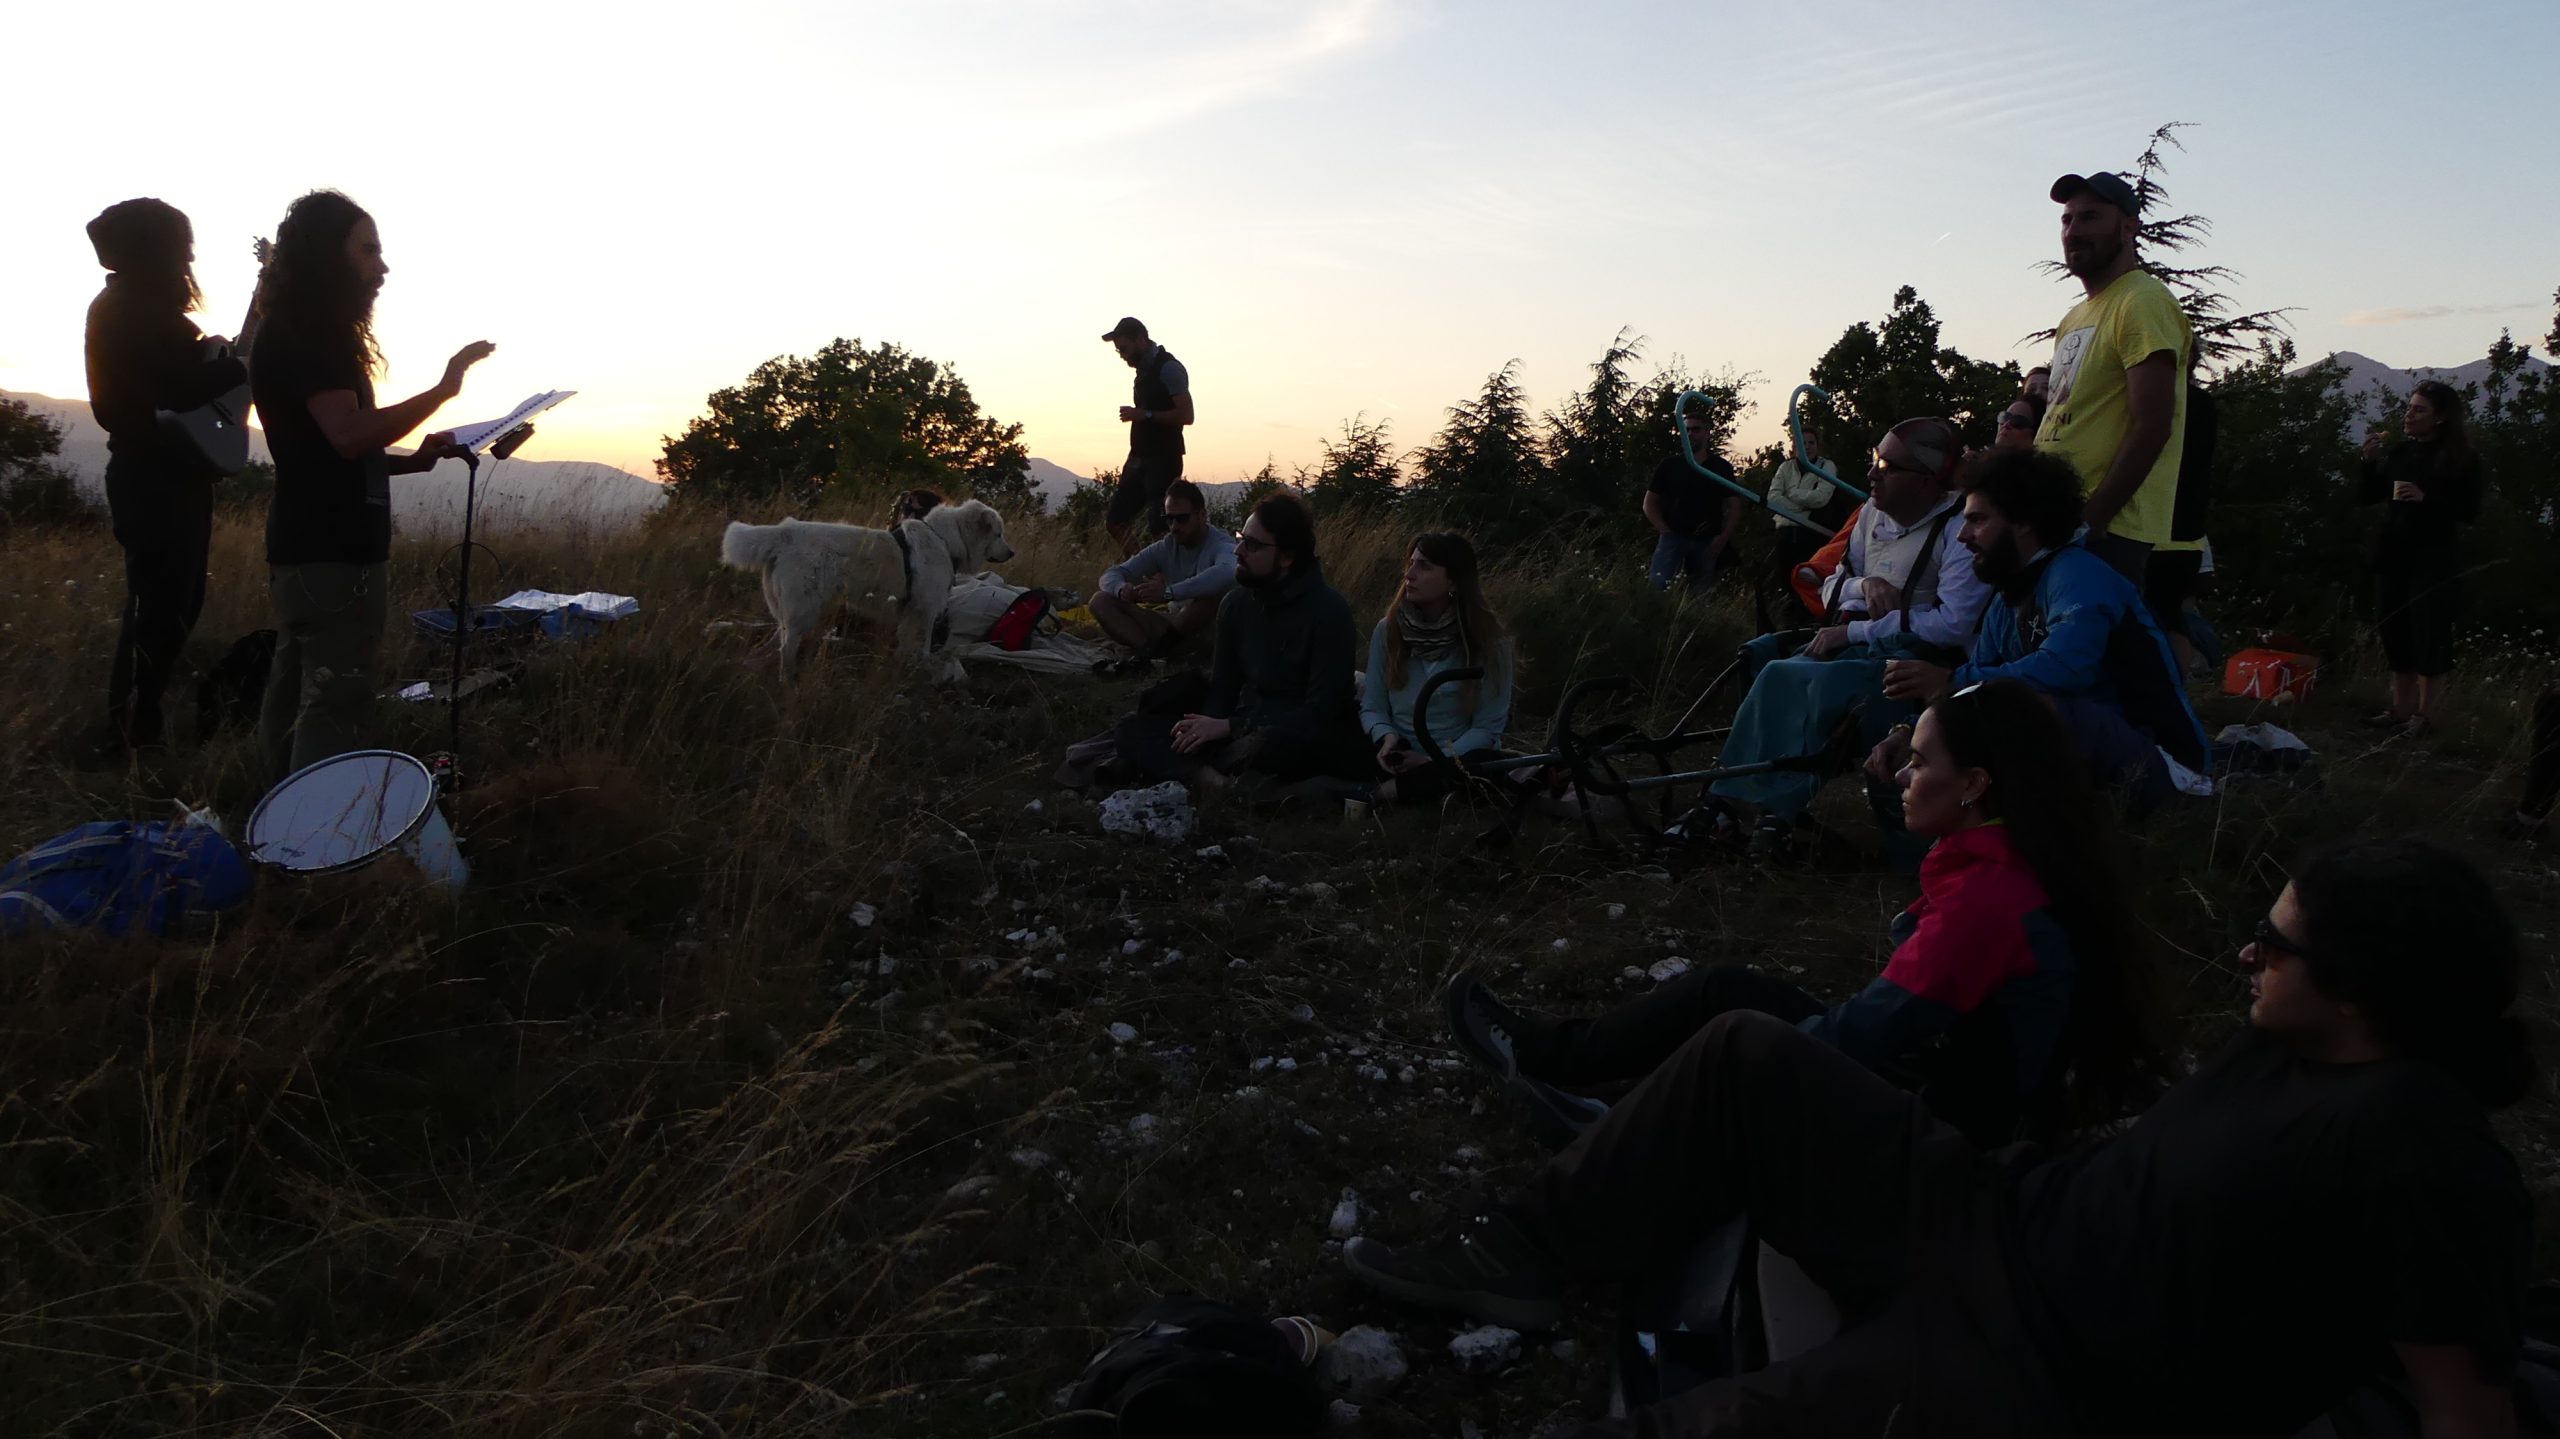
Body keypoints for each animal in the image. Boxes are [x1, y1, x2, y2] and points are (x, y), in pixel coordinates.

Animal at [719, 498, 1017, 678]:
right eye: (999, 534)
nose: (1012, 553)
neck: (945, 539)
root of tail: (784, 533)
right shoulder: (923, 610)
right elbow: (922, 643)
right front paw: (921, 665)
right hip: (804, 611)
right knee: (786, 649)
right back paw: (787, 680)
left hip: (791, 610)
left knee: (774, 643)